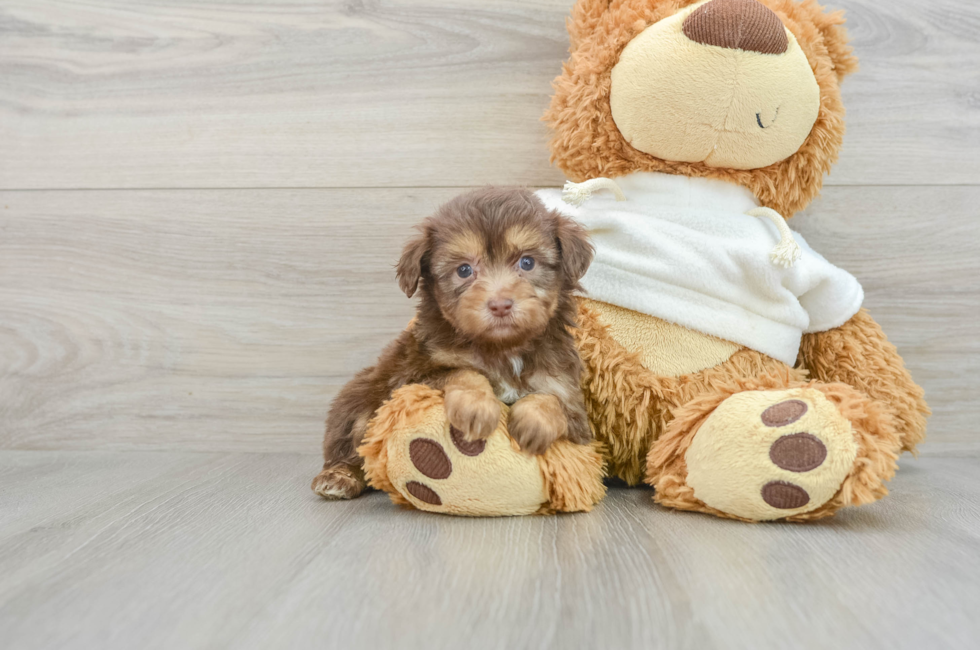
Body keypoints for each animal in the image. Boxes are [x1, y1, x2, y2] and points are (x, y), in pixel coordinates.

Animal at [310, 185, 592, 498]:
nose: (500, 305)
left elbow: (553, 402)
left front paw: (534, 423)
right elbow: (462, 371)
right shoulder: (413, 376)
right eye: (464, 270)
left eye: (527, 262)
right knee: (353, 439)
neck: (502, 349)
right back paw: (338, 477)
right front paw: (476, 407)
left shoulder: (571, 401)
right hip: (360, 400)